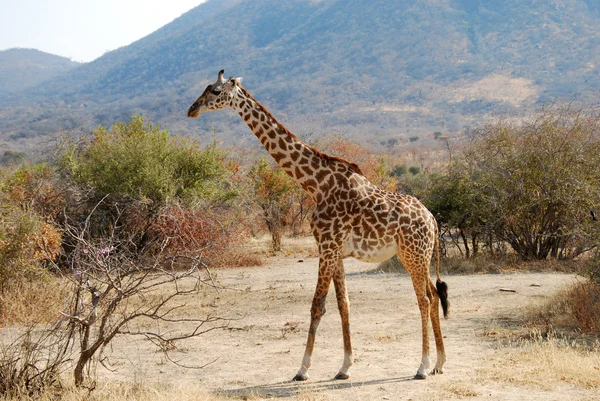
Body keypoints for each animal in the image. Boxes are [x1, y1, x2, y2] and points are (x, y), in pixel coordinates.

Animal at [189, 70, 450, 380]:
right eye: (205, 88)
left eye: (216, 91)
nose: (192, 109)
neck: (316, 184)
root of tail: (432, 220)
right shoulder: (335, 250)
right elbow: (343, 304)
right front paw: (345, 366)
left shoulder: (326, 246)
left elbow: (317, 305)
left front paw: (302, 369)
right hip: (419, 256)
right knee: (433, 295)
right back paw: (439, 363)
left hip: (413, 254)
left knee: (424, 299)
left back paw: (422, 366)